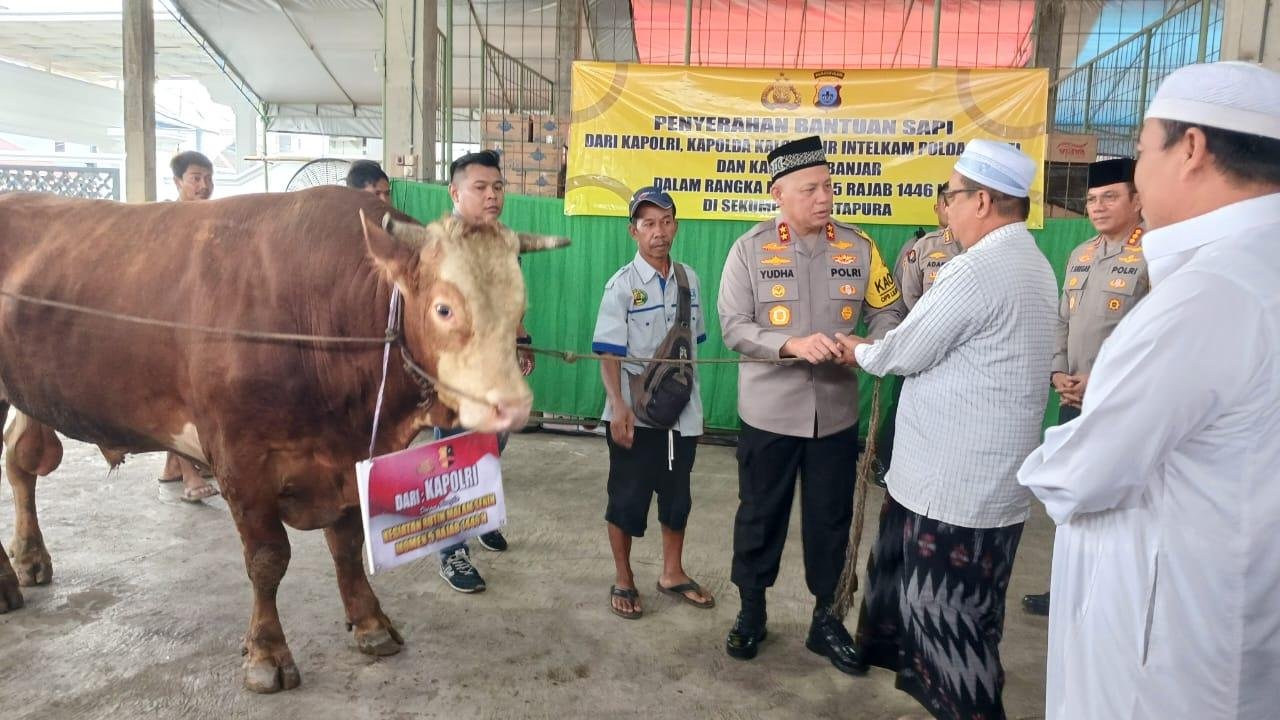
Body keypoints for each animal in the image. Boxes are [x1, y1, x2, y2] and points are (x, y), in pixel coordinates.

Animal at [0, 186, 567, 692]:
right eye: (444, 308)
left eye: (520, 306)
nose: (513, 404)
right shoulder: (239, 458)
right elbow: (268, 560)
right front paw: (267, 654)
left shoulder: (349, 457)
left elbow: (347, 545)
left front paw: (370, 623)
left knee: (20, 463)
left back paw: (28, 559)